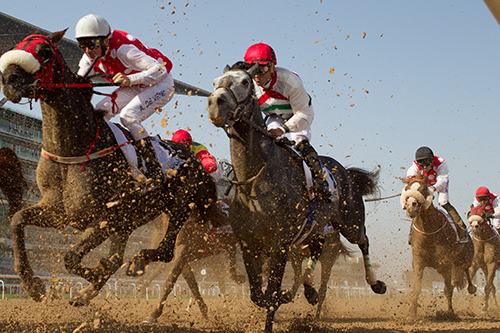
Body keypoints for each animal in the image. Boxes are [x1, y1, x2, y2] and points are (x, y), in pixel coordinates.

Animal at [205, 63, 384, 330]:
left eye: (246, 82)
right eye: (216, 81)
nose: (216, 103)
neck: (255, 181)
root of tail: (346, 172)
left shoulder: (279, 244)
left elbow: (270, 296)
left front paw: (275, 310)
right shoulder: (249, 244)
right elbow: (257, 295)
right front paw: (286, 295)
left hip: (351, 222)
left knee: (363, 241)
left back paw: (376, 283)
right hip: (316, 227)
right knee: (318, 247)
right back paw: (310, 291)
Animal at [400, 174, 474, 316]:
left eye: (423, 189)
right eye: (407, 188)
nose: (411, 206)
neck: (429, 230)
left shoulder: (445, 263)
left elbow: (448, 289)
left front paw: (450, 313)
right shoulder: (418, 261)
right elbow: (417, 288)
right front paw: (412, 314)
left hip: (465, 257)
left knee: (466, 269)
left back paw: (472, 288)